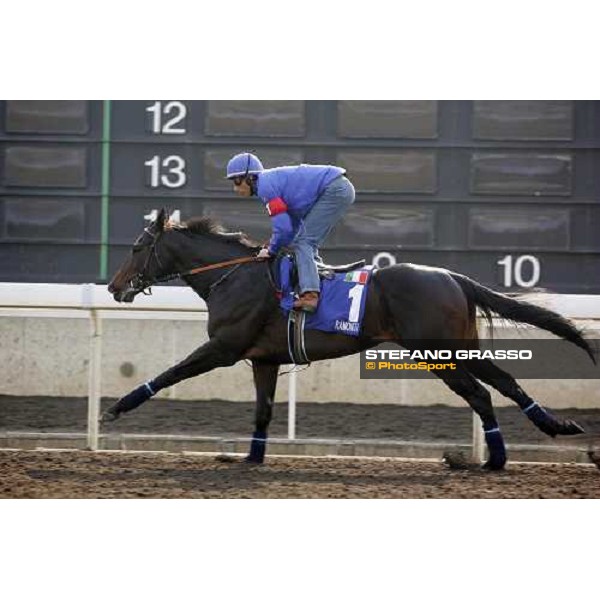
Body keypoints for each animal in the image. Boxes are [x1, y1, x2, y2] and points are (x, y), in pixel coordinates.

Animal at [104, 209, 596, 472]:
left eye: (136, 248)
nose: (114, 287)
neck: (234, 276)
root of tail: (453, 276)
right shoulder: (263, 359)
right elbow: (263, 411)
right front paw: (250, 458)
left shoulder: (224, 349)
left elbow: (169, 374)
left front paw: (116, 408)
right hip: (460, 347)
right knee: (501, 383)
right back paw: (537, 436)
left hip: (439, 351)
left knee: (481, 392)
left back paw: (496, 456)